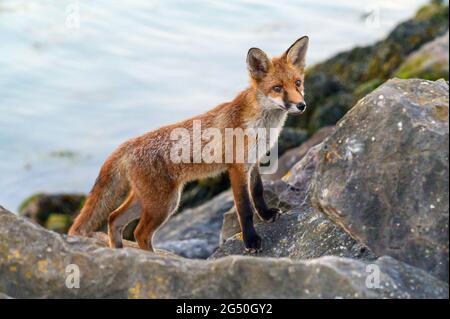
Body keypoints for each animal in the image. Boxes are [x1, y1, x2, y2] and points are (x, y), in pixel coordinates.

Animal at [69, 37, 310, 252]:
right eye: (277, 88)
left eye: (297, 83)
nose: (302, 105)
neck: (262, 126)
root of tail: (130, 143)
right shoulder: (236, 169)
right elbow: (245, 208)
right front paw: (251, 240)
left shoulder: (254, 162)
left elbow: (258, 193)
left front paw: (267, 215)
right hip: (164, 204)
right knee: (139, 233)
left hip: (149, 201)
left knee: (113, 219)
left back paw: (121, 253)